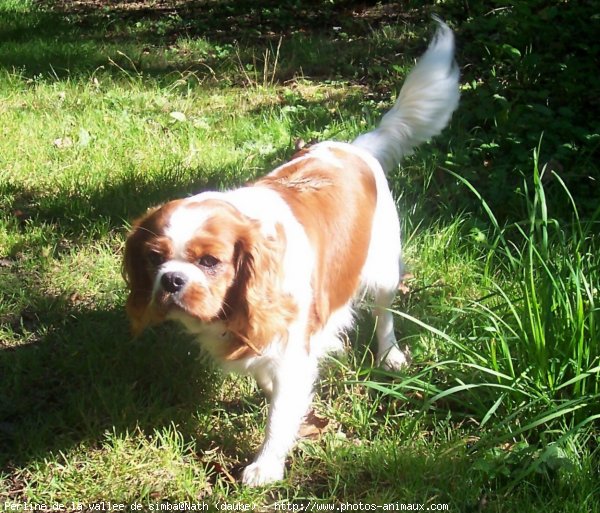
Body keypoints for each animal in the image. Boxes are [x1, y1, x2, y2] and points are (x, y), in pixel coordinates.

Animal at [122, 19, 460, 484]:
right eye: (155, 259)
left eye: (210, 262)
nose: (171, 280)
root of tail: (355, 147)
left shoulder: (290, 355)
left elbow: (280, 415)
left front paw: (266, 465)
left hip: (384, 268)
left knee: (384, 313)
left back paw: (389, 354)